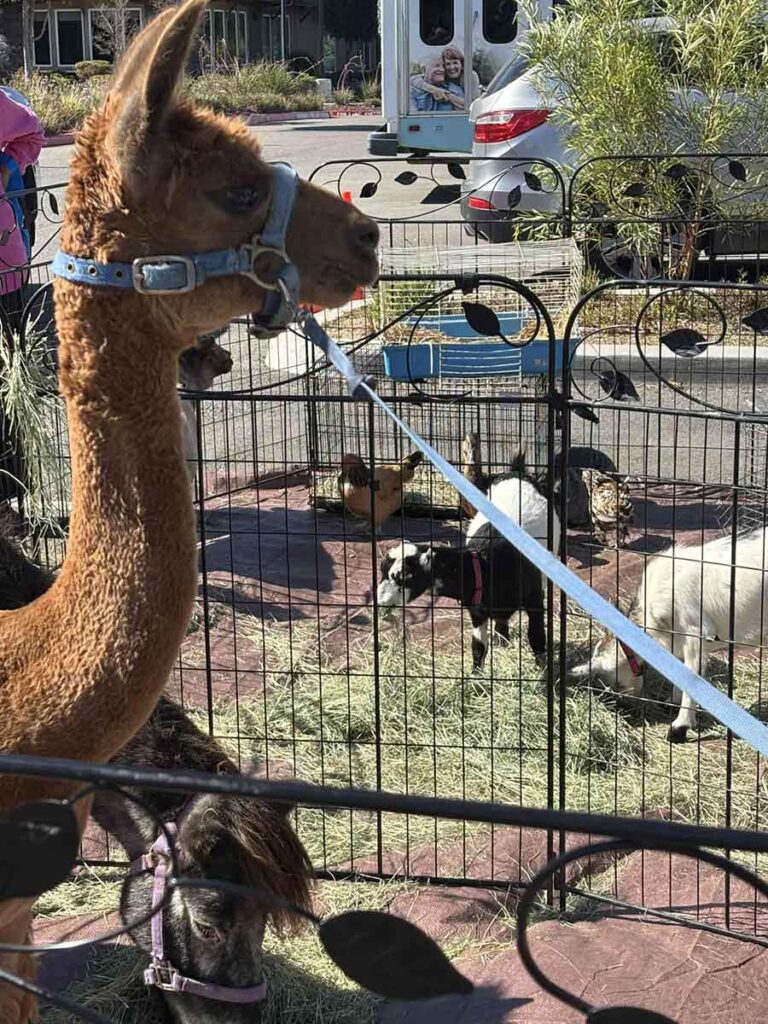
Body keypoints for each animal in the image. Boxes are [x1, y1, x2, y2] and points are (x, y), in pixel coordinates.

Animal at [570, 528, 768, 742]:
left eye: (614, 681)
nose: (625, 706)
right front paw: (670, 702)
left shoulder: (696, 633)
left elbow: (691, 678)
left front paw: (678, 729)